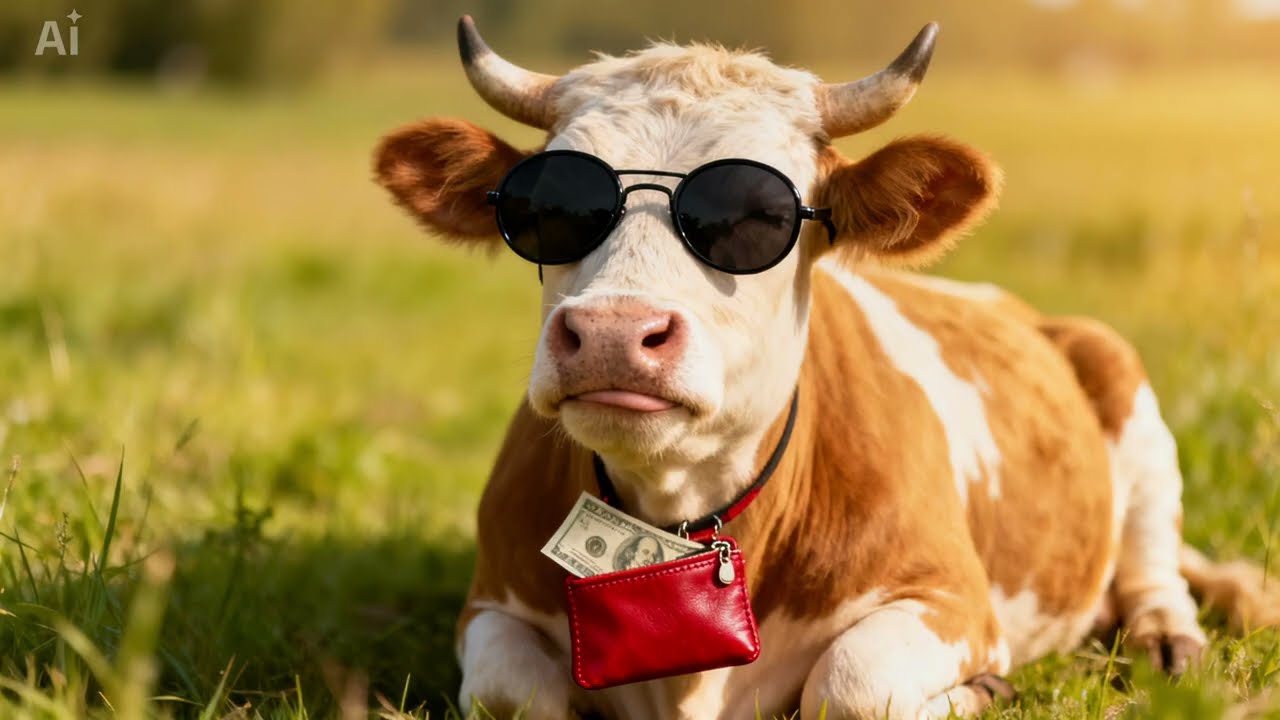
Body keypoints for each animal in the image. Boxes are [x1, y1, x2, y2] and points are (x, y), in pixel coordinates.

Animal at [373, 16, 1278, 719]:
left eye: (758, 215)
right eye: (546, 206)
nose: (611, 332)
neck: (678, 508)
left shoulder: (951, 599)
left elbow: (853, 684)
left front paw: (984, 690)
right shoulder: (490, 602)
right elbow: (512, 692)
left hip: (1125, 387)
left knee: (1153, 561)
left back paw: (1166, 638)